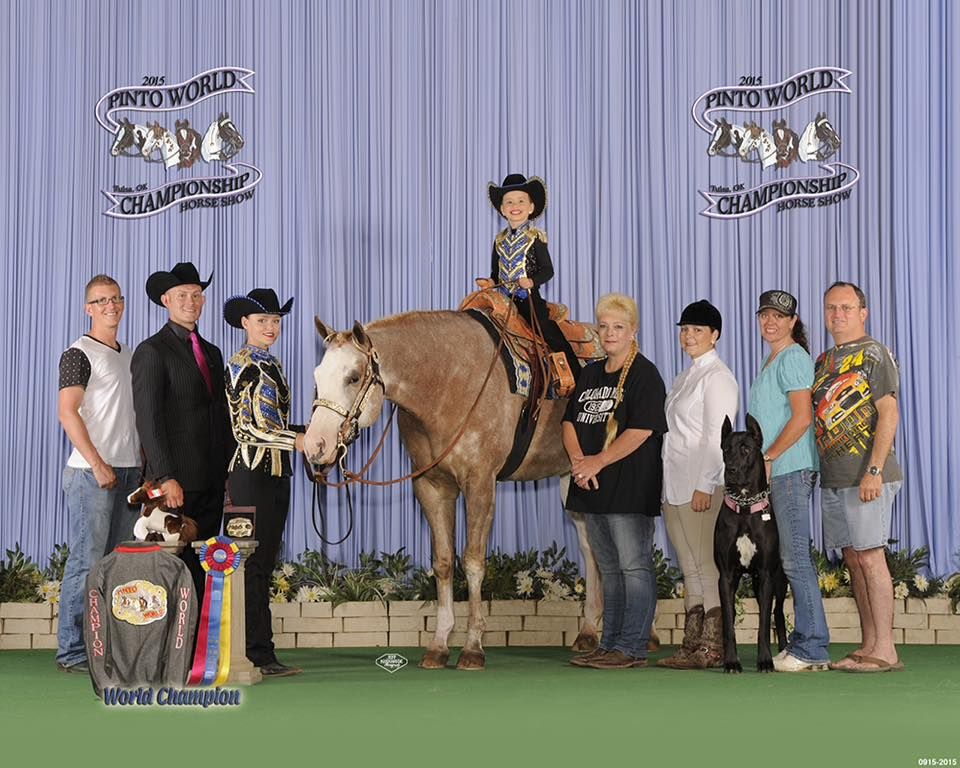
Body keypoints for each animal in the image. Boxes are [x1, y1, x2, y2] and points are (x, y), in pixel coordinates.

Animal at [303, 312, 603, 670]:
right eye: (317, 376)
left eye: (353, 377)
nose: (315, 445)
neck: (449, 382)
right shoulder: (432, 486)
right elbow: (444, 562)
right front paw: (439, 646)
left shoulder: (480, 483)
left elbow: (473, 562)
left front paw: (473, 648)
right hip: (573, 479)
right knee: (591, 550)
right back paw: (589, 633)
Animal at [715, 415, 788, 672]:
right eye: (726, 449)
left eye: (746, 448)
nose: (731, 470)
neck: (745, 507)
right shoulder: (726, 576)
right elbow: (728, 622)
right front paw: (731, 661)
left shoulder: (765, 575)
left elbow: (764, 624)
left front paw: (765, 660)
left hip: (779, 580)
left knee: (777, 613)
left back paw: (784, 650)